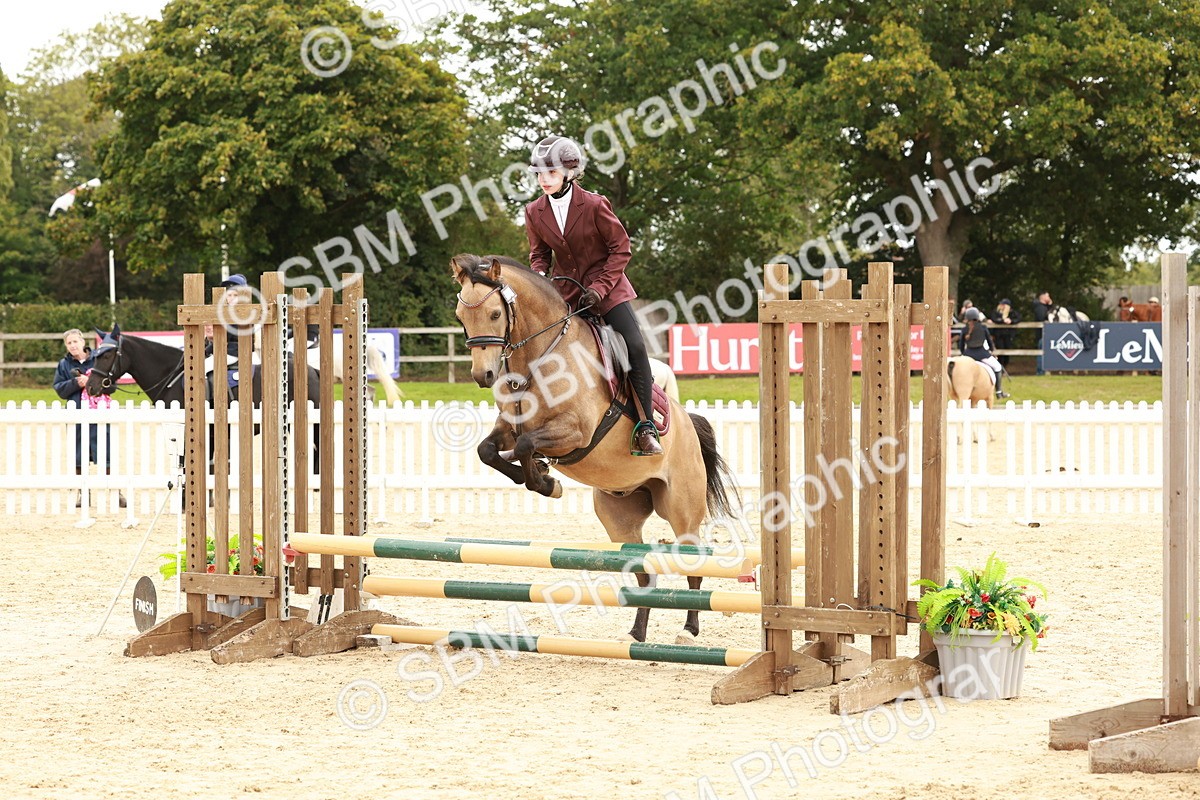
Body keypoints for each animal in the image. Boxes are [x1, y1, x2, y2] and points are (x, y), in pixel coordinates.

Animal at [450, 254, 740, 645]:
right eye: (460, 317)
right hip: (618, 517)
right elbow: (489, 451)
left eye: (496, 314)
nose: (484, 376)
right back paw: (636, 634)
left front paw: (546, 482)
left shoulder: (577, 431)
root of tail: (689, 428)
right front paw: (543, 476)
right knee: (644, 574)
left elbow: (527, 444)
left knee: (693, 561)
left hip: (681, 510)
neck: (541, 356)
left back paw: (688, 630)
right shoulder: (509, 427)